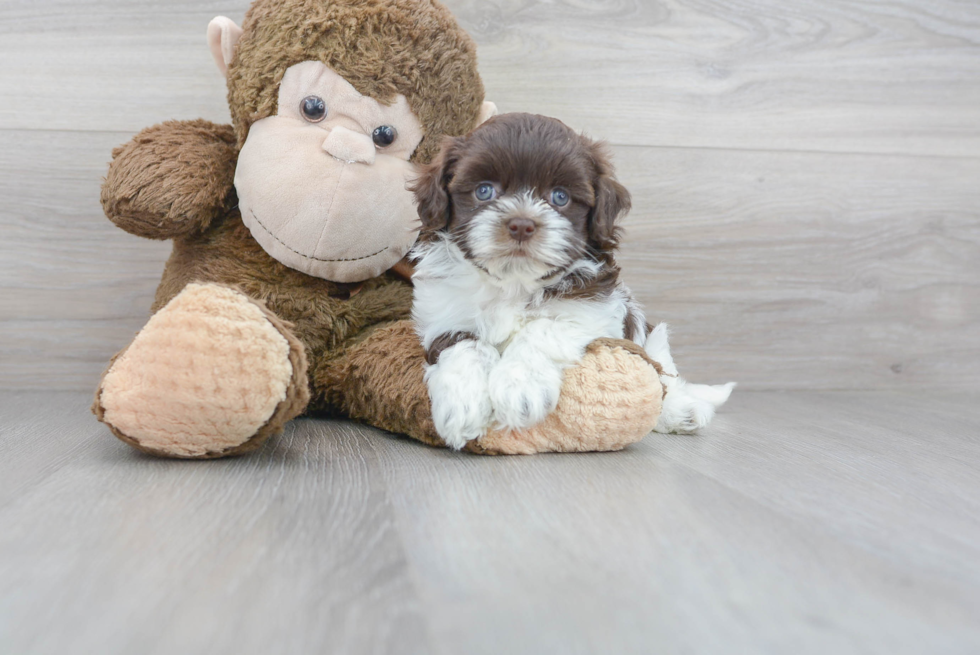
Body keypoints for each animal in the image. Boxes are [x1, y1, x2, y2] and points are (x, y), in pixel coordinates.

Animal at [408, 114, 736, 452]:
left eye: (560, 197)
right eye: (484, 191)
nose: (521, 224)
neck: (514, 283)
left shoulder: (595, 309)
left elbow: (543, 328)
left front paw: (520, 388)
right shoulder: (442, 313)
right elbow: (462, 344)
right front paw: (462, 404)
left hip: (650, 336)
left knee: (664, 377)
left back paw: (682, 410)